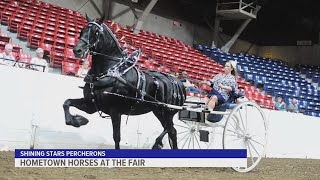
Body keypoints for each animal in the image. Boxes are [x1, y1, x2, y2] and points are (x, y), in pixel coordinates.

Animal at [62, 13, 186, 149]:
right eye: (82, 30)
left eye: (96, 32)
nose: (77, 50)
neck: (111, 71)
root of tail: (178, 81)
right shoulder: (91, 105)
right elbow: (67, 103)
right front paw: (78, 120)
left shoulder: (115, 111)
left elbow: (116, 137)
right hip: (158, 111)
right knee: (171, 130)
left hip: (167, 112)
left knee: (170, 129)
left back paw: (157, 143)